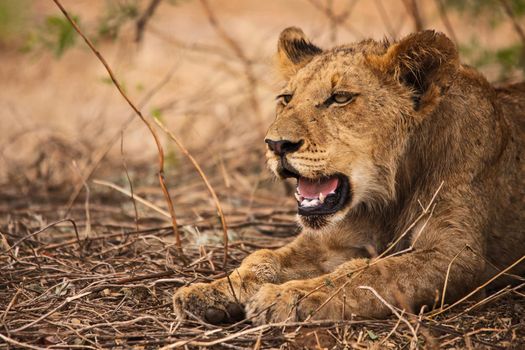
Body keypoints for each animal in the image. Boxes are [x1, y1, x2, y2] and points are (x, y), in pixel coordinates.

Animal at [173, 28, 524, 326]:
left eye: (340, 98)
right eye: (286, 99)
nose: (276, 144)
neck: (387, 196)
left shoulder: (455, 257)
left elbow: (368, 274)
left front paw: (287, 297)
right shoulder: (327, 243)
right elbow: (263, 259)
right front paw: (208, 291)